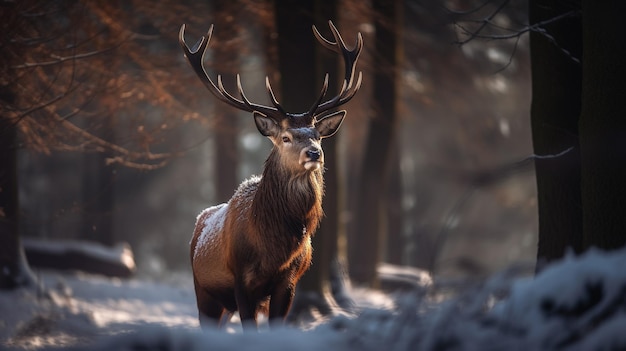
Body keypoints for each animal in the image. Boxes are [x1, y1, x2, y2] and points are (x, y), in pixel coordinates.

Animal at [177, 20, 360, 332]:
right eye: (286, 137)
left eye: (317, 135)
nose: (314, 153)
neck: (273, 249)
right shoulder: (240, 280)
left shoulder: (288, 282)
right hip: (204, 291)